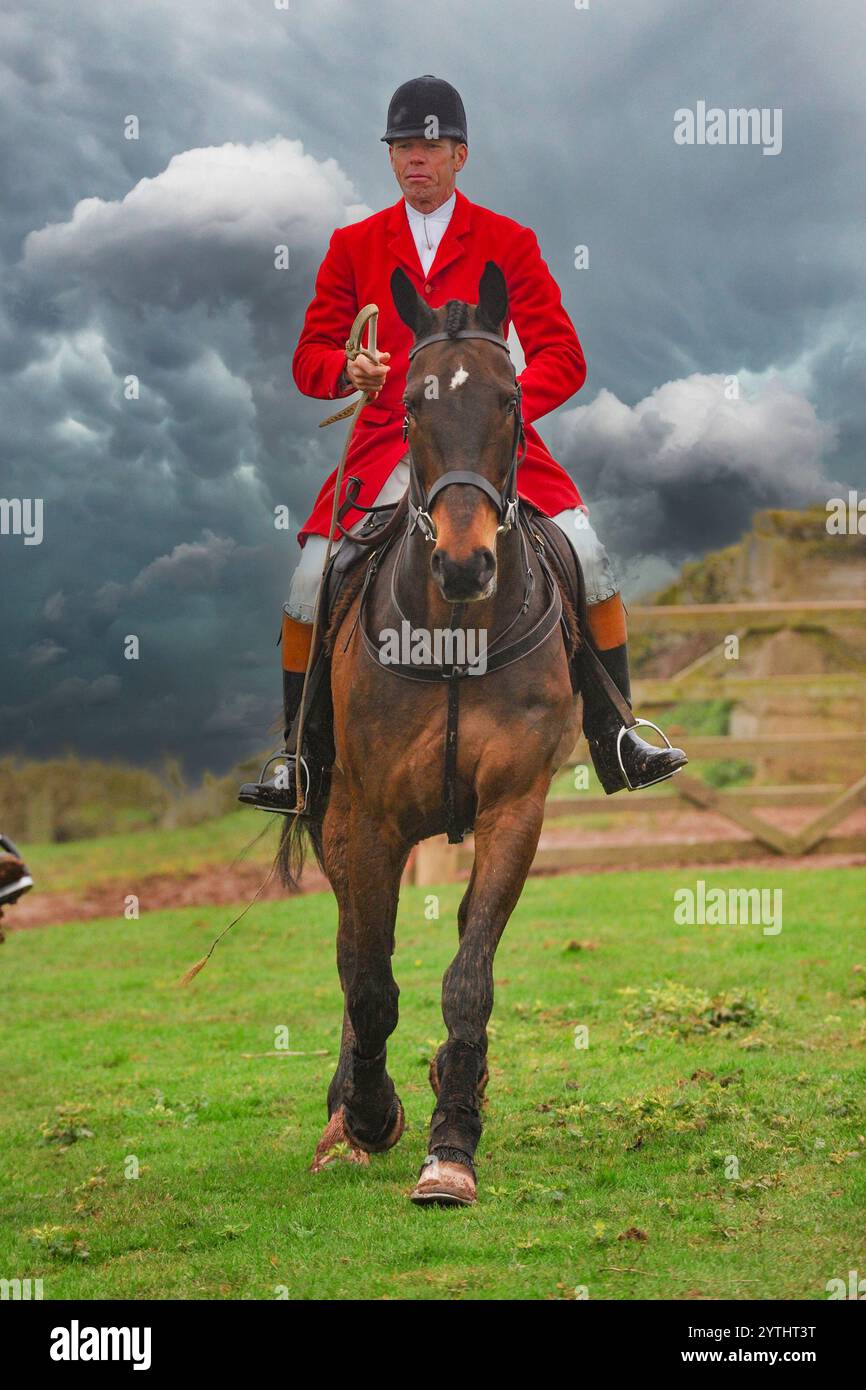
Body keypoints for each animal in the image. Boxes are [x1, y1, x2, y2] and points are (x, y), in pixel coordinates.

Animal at [283, 261, 583, 1206]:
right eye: (410, 405)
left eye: (511, 399)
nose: (463, 563)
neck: (453, 632)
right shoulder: (369, 823)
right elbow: (370, 983)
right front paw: (370, 1113)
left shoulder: (514, 808)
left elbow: (468, 978)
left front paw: (453, 1139)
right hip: (333, 821)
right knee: (351, 958)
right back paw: (345, 1111)